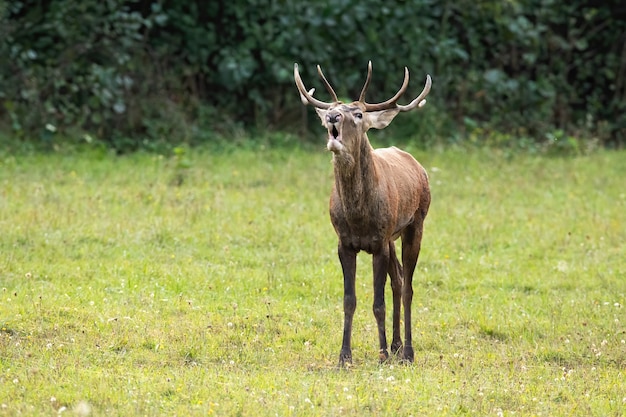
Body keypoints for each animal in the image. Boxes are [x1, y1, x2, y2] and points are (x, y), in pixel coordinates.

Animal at [292, 61, 428, 364]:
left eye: (357, 114)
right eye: (331, 110)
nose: (332, 116)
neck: (358, 217)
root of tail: (418, 165)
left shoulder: (379, 243)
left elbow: (378, 303)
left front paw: (382, 354)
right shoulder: (344, 243)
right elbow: (349, 300)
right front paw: (345, 356)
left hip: (415, 223)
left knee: (408, 287)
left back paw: (407, 352)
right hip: (392, 236)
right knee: (398, 280)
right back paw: (397, 345)